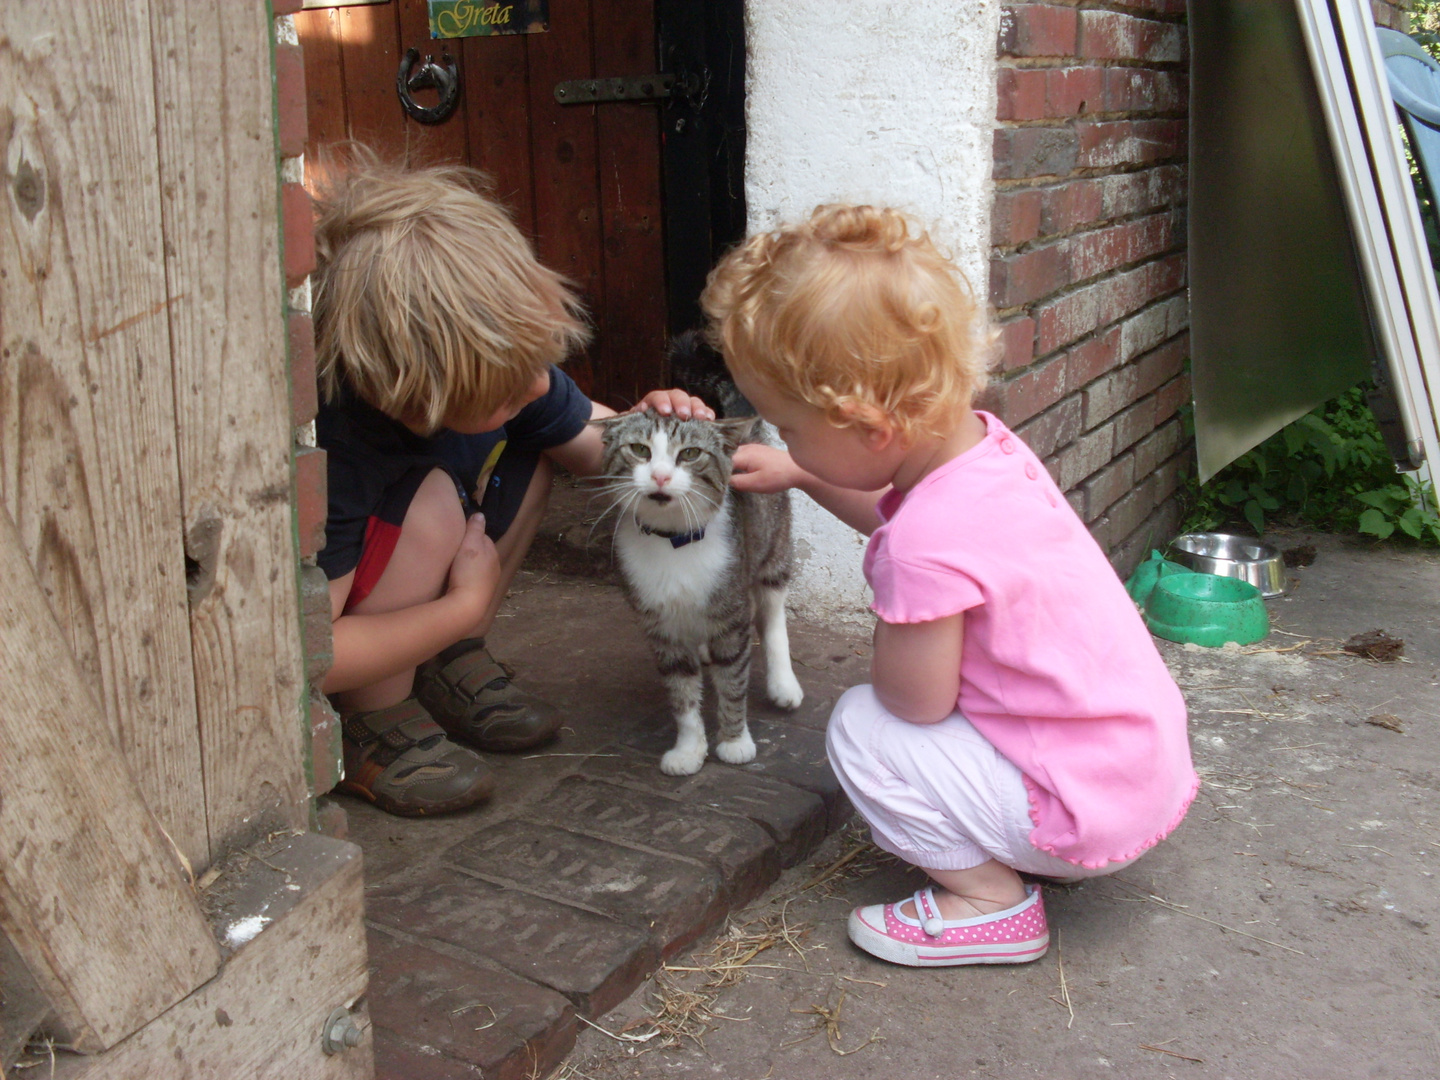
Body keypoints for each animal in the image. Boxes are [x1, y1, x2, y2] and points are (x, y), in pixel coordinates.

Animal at [590, 408, 806, 771]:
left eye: (690, 453)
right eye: (640, 449)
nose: (660, 476)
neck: (673, 541)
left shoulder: (730, 611)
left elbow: (732, 679)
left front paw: (734, 741)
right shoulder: (660, 626)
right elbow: (682, 691)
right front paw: (689, 749)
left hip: (772, 545)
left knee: (772, 612)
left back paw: (783, 683)